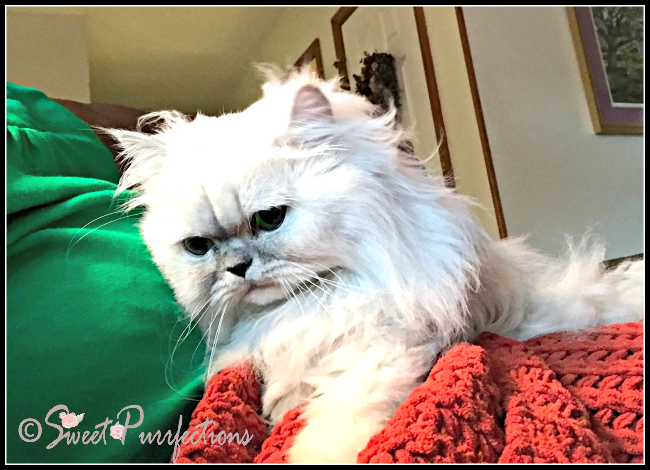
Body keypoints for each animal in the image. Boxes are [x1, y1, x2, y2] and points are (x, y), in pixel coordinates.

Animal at [106, 68, 643, 463]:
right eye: (199, 247)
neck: (306, 307)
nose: (238, 268)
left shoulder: (386, 351)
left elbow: (333, 429)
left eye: (269, 218)